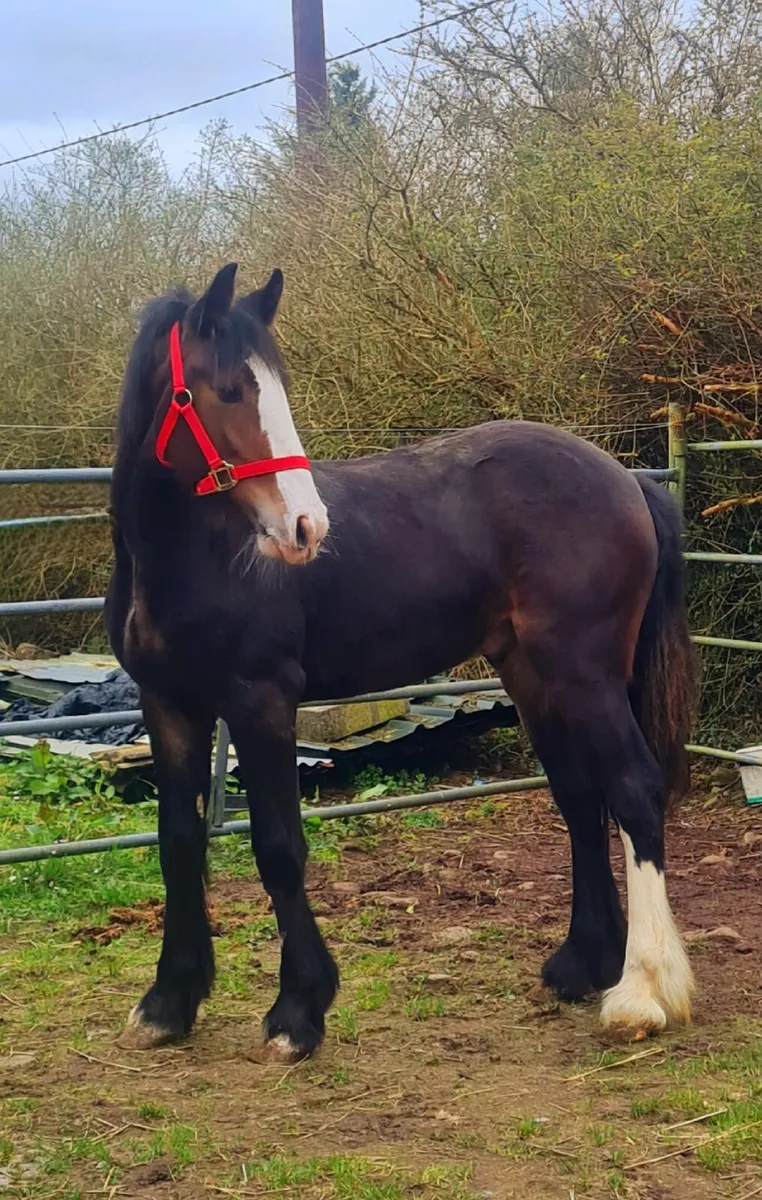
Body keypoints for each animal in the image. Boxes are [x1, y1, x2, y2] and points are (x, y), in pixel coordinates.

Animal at [106, 262, 698, 1060]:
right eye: (227, 388)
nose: (305, 528)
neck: (190, 558)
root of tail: (626, 478)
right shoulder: (168, 706)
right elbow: (176, 843)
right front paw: (169, 1003)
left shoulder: (261, 701)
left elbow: (278, 847)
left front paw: (298, 1011)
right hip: (533, 675)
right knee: (580, 797)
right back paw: (582, 965)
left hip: (587, 674)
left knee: (634, 790)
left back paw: (641, 993)